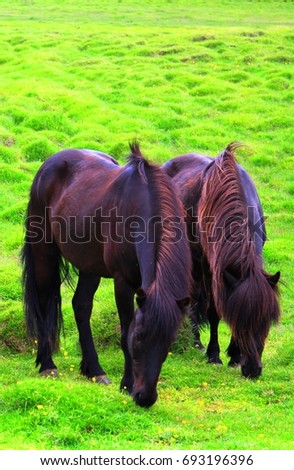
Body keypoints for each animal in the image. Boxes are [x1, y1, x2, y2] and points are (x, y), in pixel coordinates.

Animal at [21, 141, 191, 406]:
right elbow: (123, 332)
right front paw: (127, 384)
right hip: (43, 253)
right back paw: (48, 365)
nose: (146, 398)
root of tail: (50, 163)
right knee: (43, 303)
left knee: (81, 306)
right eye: (139, 337)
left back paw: (94, 370)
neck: (140, 210)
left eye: (168, 342)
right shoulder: (123, 283)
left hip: (90, 266)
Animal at [163, 143, 280, 378]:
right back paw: (196, 342)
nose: (252, 370)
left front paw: (234, 356)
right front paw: (214, 355)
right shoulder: (210, 267)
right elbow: (214, 311)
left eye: (266, 322)